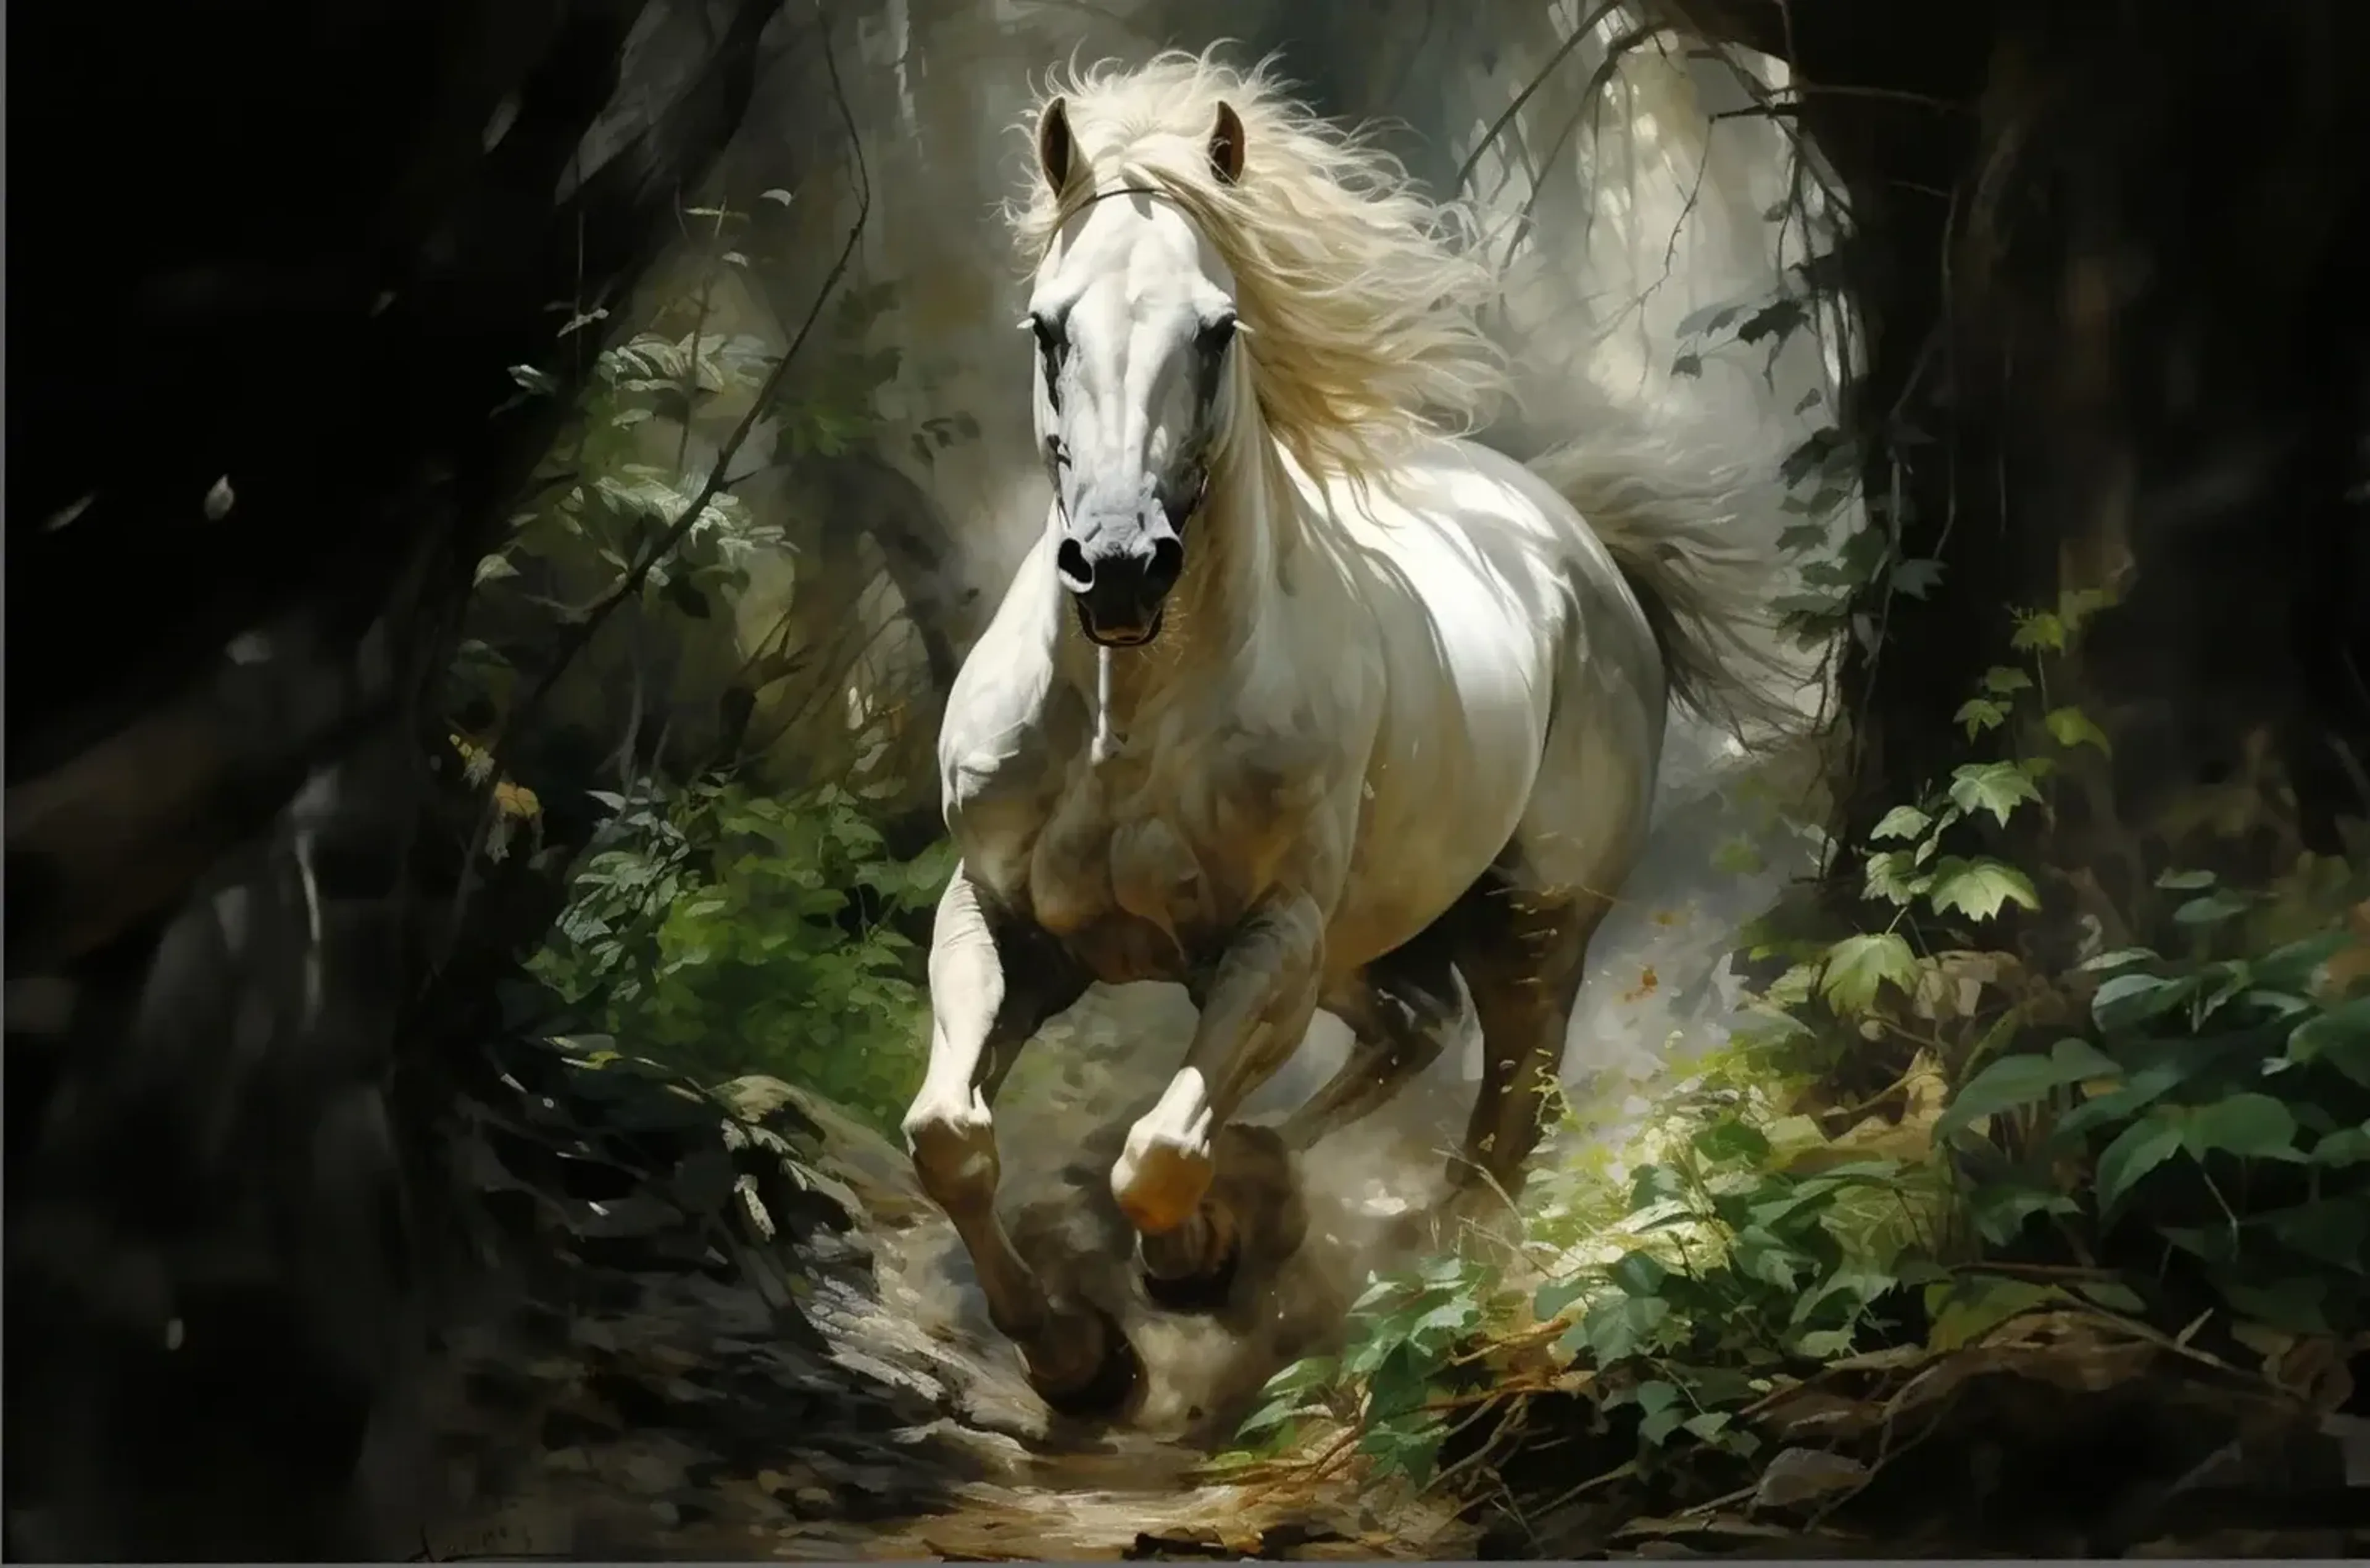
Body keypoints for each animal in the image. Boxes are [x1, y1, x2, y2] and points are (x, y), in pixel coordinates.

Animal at [898, 49, 1775, 1417]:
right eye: (1049, 327)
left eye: (1216, 329)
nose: (1120, 565)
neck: (1124, 730)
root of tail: (1572, 533)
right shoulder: (1003, 922)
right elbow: (949, 1138)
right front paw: (1074, 1356)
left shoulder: (1271, 943)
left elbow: (1160, 1152)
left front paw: (1191, 1260)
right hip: (1383, 933)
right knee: (1411, 1030)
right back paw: (1276, 1186)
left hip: (1527, 925)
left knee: (1504, 1113)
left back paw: (1409, 1264)